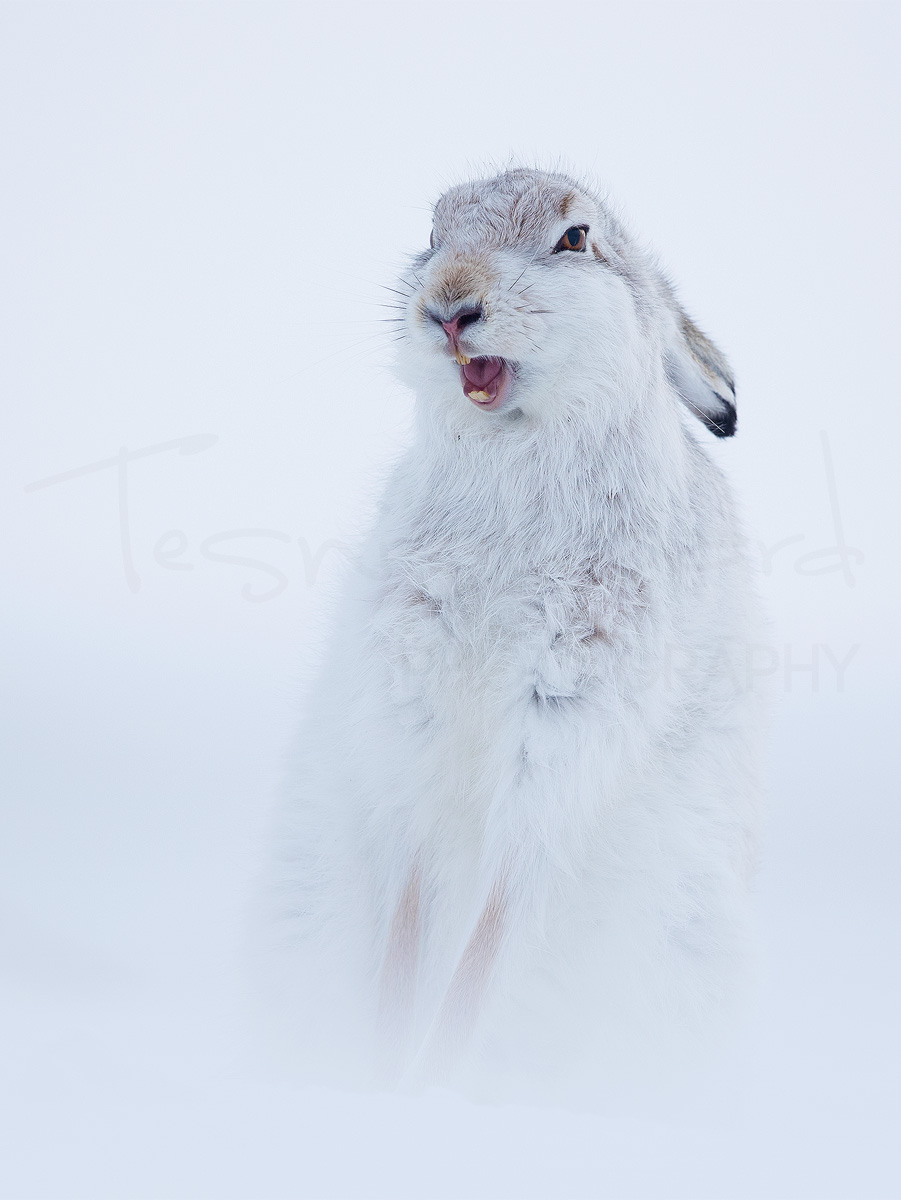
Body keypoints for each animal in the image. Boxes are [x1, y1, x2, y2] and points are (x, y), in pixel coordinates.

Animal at [261, 167, 767, 1102]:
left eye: (574, 238)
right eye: (431, 236)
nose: (449, 305)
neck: (514, 451)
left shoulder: (562, 739)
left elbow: (488, 940)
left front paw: (430, 1083)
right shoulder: (409, 734)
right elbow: (409, 917)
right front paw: (381, 1070)